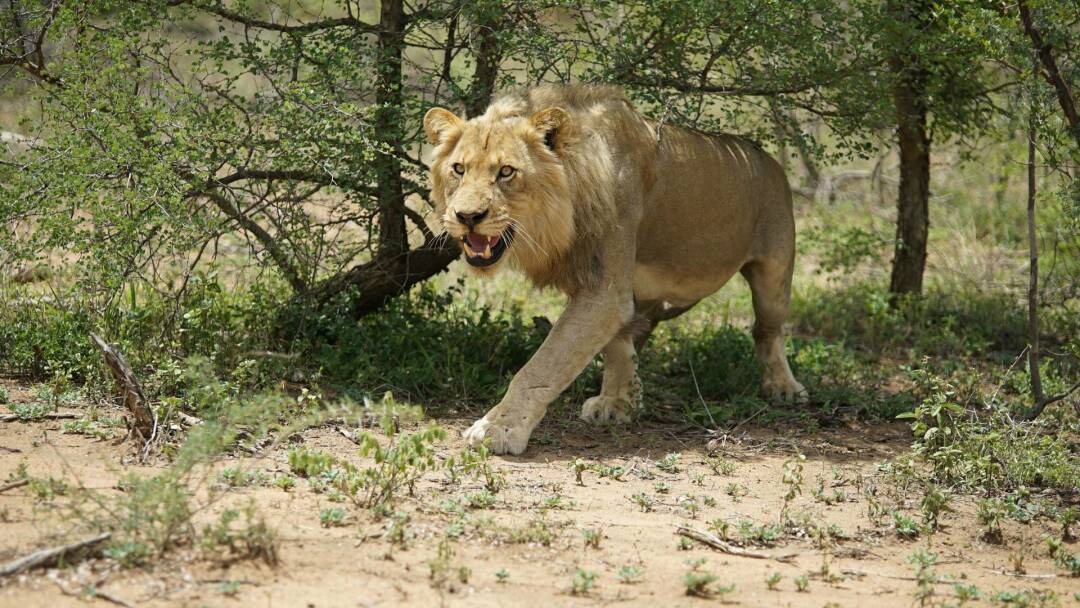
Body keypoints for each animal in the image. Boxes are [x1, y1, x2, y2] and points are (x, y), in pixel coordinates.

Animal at [421, 86, 803, 457]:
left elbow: (543, 365)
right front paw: (617, 402)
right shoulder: (605, 284)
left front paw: (498, 428)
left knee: (767, 329)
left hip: (775, 270)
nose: (467, 216)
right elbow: (615, 345)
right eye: (458, 169)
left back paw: (783, 387)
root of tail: (768, 158)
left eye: (506, 172)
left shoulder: (604, 290)